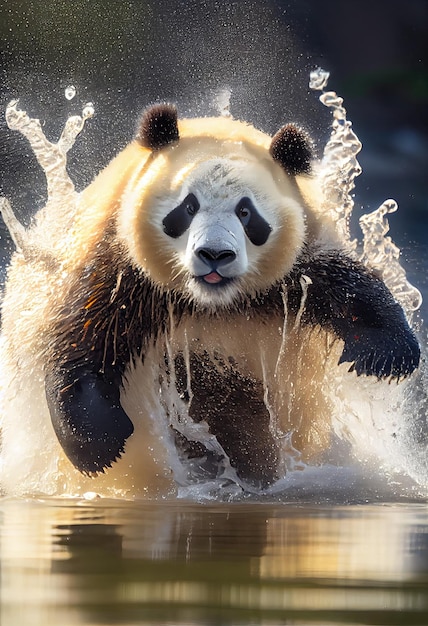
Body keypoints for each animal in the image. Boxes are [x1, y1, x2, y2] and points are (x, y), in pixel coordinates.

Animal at [0, 103, 420, 498]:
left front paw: (383, 353)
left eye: (246, 211)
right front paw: (101, 445)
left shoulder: (298, 265)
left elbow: (349, 285)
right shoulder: (119, 266)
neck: (213, 303)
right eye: (188, 207)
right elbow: (83, 338)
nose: (215, 255)